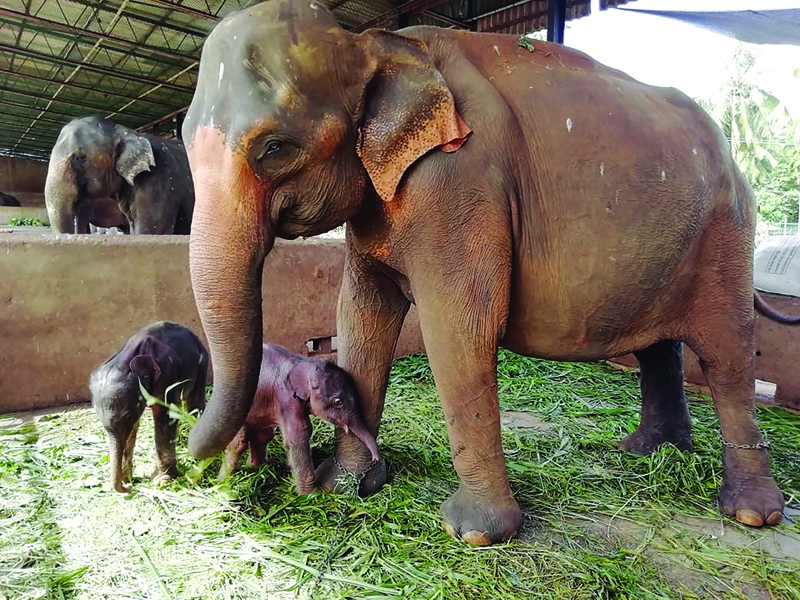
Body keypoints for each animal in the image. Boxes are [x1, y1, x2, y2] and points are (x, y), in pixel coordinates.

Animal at [89, 321, 208, 492]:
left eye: (127, 415)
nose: (128, 487)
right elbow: (133, 429)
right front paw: (127, 478)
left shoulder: (167, 375)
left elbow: (164, 419)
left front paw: (162, 481)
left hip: (202, 365)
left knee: (195, 405)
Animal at [218, 343, 379, 494]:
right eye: (338, 402)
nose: (375, 459)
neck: (304, 362)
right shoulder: (286, 399)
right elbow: (298, 437)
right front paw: (310, 496)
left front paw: (290, 468)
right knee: (239, 442)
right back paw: (222, 481)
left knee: (262, 436)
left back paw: (256, 466)